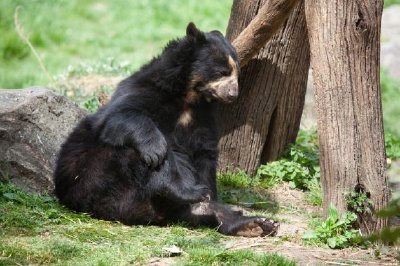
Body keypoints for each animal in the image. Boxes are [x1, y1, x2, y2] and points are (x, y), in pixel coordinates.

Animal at [54, 21, 278, 236]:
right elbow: (119, 115)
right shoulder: (147, 91)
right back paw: (187, 191)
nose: (232, 94)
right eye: (221, 72)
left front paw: (210, 194)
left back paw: (255, 224)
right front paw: (157, 150)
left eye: (237, 75)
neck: (189, 97)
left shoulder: (202, 117)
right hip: (101, 177)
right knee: (140, 158)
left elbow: (205, 153)